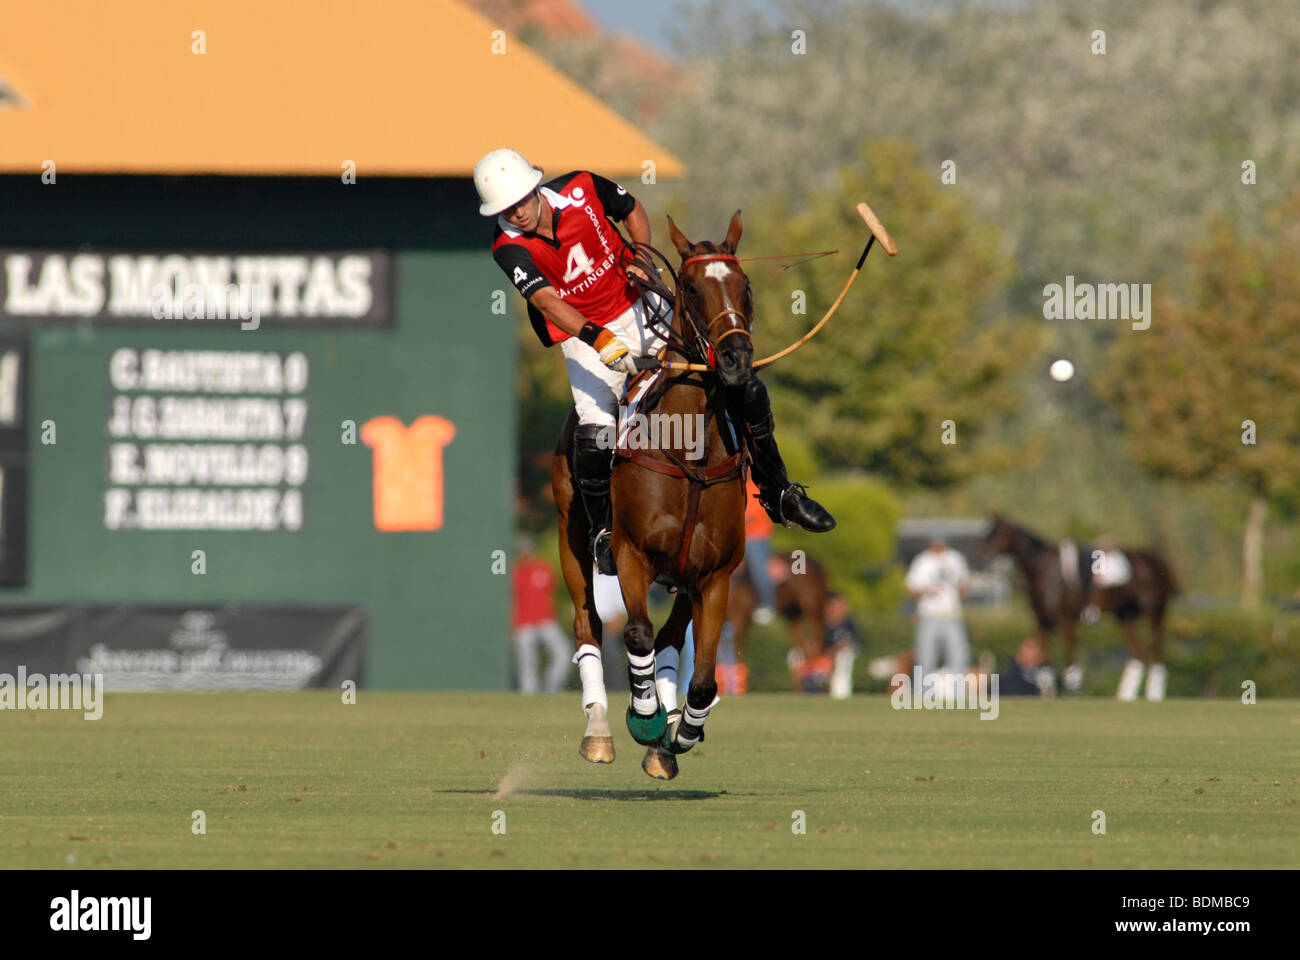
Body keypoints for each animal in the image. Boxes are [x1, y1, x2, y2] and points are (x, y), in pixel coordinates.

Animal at [551, 210, 754, 780]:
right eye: (691, 287)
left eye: (745, 287)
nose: (735, 359)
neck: (690, 453)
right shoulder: (630, 555)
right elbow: (636, 634)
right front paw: (644, 717)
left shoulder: (714, 575)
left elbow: (702, 676)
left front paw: (678, 733)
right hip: (571, 539)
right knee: (588, 625)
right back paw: (600, 730)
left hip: (684, 578)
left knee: (669, 639)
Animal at [982, 512, 1180, 697]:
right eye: (988, 532)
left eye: (997, 534)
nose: (980, 553)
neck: (1044, 571)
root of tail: (1160, 563)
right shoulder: (1043, 621)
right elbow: (1045, 664)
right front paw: (1049, 694)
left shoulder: (1066, 620)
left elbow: (1070, 659)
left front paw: (1074, 693)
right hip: (1125, 616)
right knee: (1138, 654)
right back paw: (1124, 695)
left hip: (1155, 614)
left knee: (1158, 655)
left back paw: (1154, 694)